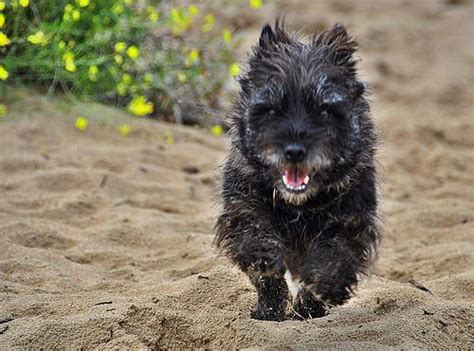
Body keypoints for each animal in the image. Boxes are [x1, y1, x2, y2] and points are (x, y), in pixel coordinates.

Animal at [215, 22, 382, 322]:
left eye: (325, 109)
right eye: (272, 108)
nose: (294, 151)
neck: (299, 205)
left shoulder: (353, 216)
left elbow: (336, 251)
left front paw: (320, 293)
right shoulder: (242, 203)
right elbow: (254, 239)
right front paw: (270, 307)